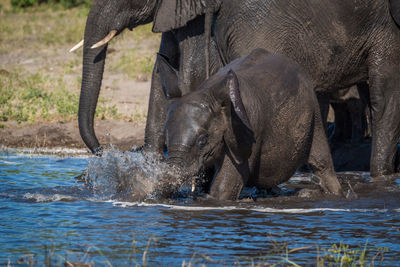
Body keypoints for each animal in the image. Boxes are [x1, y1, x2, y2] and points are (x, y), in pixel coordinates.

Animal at [163, 48, 344, 201]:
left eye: (202, 140)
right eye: (166, 140)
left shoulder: (245, 129)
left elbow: (224, 188)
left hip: (314, 114)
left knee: (322, 162)